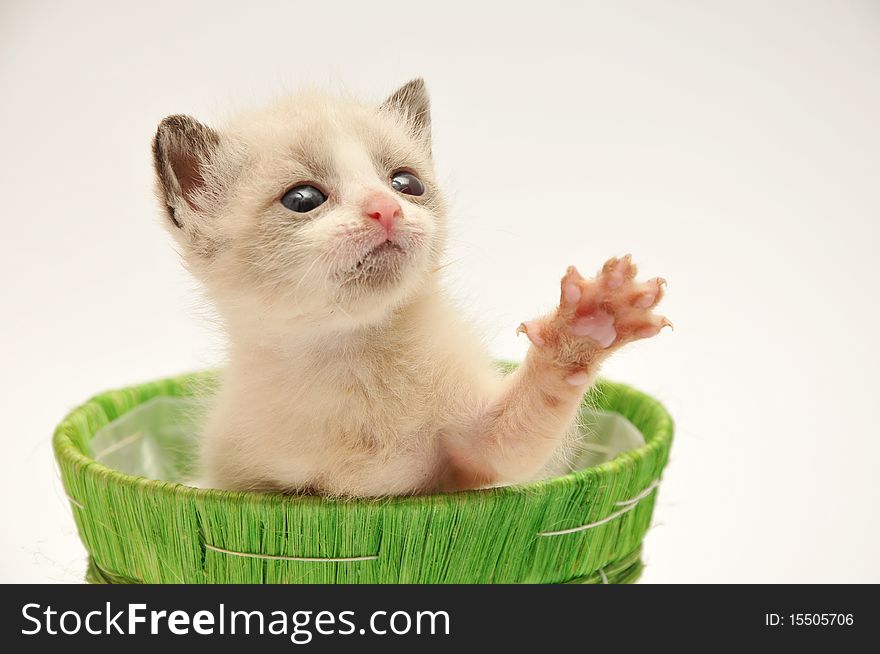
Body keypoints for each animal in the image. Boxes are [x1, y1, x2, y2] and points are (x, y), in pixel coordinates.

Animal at [151, 79, 668, 498]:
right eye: (303, 199)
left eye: (406, 183)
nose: (386, 208)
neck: (351, 355)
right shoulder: (242, 481)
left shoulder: (479, 455)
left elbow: (524, 425)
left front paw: (588, 325)